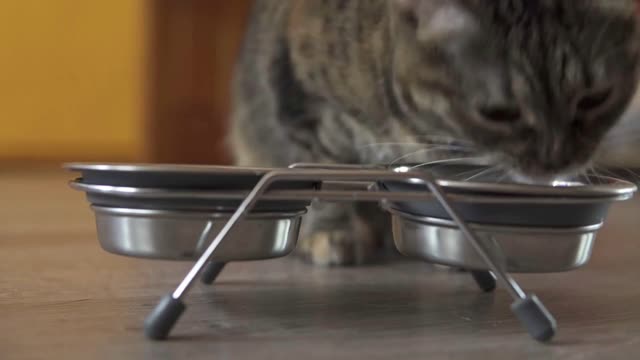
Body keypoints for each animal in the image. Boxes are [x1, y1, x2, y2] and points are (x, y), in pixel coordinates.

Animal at [229, 0, 640, 264]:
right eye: (498, 113)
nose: (556, 161)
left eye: (595, 99)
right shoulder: (304, 99)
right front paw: (334, 233)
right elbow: (322, 177)